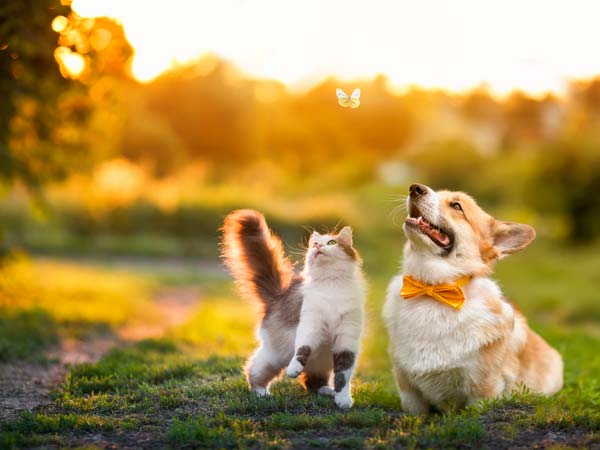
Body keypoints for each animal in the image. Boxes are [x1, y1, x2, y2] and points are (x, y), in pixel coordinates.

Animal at [220, 208, 366, 408]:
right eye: (315, 244)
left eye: (331, 242)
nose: (317, 247)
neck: (331, 285)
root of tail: (279, 295)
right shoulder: (310, 324)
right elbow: (302, 350)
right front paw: (293, 370)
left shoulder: (346, 339)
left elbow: (343, 376)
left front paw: (343, 400)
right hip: (275, 357)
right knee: (254, 371)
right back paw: (261, 393)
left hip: (322, 361)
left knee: (313, 382)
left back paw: (326, 390)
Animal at [384, 184, 564, 414]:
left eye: (456, 206)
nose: (415, 188)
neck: (434, 288)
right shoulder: (408, 388)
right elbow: (416, 412)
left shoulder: (482, 389)